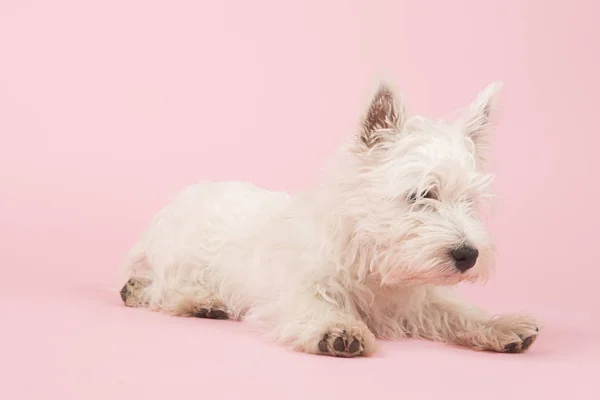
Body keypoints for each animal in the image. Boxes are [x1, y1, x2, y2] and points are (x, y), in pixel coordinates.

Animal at [120, 81, 540, 356]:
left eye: (470, 200)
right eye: (423, 195)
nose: (468, 255)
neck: (371, 258)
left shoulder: (416, 298)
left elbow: (455, 310)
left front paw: (501, 325)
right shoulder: (293, 291)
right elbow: (314, 306)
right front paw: (337, 330)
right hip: (177, 258)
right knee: (154, 290)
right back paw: (200, 300)